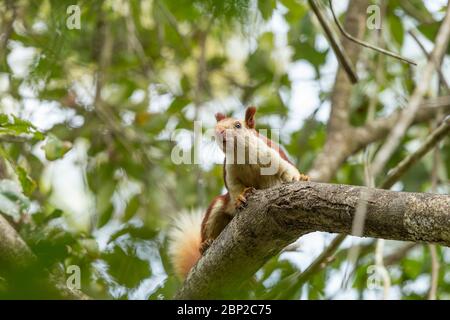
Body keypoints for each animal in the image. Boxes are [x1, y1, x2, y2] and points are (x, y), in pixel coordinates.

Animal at [169, 107, 310, 278]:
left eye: (237, 125)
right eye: (217, 125)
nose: (219, 131)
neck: (243, 155)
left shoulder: (272, 156)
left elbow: (288, 172)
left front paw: (299, 178)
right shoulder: (230, 172)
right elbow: (235, 188)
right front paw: (241, 198)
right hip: (219, 207)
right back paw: (206, 244)